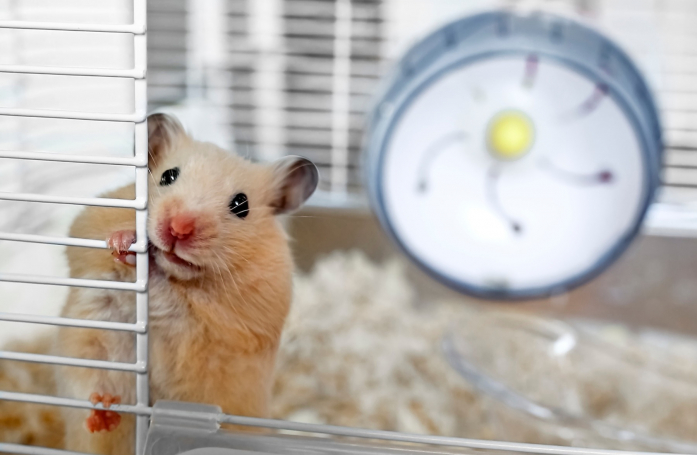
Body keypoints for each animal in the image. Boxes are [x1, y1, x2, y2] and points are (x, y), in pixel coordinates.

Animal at [56, 113, 318, 455]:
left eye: (241, 205)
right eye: (168, 176)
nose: (177, 229)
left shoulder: (240, 316)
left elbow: (178, 301)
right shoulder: (88, 235)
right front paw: (125, 244)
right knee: (98, 389)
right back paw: (103, 415)